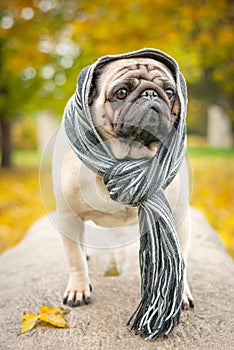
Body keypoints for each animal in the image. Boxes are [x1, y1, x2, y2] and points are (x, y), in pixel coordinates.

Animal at [52, 56, 194, 310]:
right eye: (121, 92)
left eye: (170, 92)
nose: (151, 93)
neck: (129, 158)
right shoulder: (68, 216)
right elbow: (74, 258)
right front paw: (78, 288)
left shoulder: (179, 216)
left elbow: (181, 258)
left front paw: (181, 293)